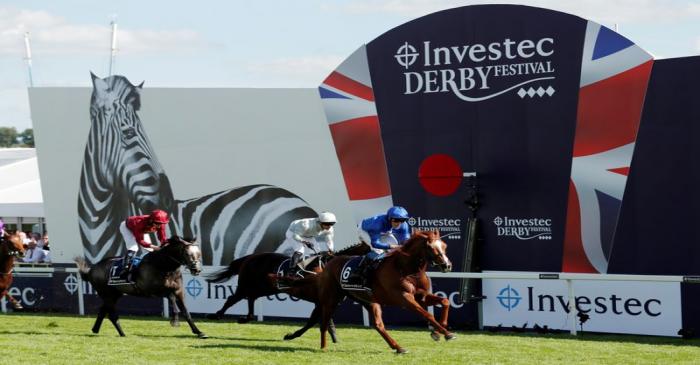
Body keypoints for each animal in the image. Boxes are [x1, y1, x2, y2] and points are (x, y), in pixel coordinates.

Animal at [76, 235, 208, 336]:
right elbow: (171, 298)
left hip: (114, 295)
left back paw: (96, 329)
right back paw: (122, 333)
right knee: (111, 314)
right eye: (187, 253)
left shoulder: (179, 291)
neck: (163, 265)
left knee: (103, 311)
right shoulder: (153, 291)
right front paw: (175, 320)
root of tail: (92, 269)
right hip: (107, 294)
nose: (197, 270)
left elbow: (186, 312)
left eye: (199, 253)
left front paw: (199, 332)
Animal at [208, 242, 372, 342]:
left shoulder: (327, 302)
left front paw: (334, 338)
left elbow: (319, 320)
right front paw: (291, 335)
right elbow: (312, 321)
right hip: (246, 286)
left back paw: (245, 318)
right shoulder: (321, 301)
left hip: (265, 288)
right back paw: (215, 315)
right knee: (232, 298)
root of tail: (249, 257)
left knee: (251, 298)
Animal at [308, 230, 452, 352]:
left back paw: (398, 348)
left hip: (368, 301)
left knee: (378, 325)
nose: (447, 265)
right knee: (324, 322)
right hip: (331, 299)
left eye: (444, 246)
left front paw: (438, 332)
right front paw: (447, 333)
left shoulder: (421, 296)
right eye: (430, 247)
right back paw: (323, 347)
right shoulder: (404, 298)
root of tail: (330, 261)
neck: (406, 269)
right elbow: (427, 314)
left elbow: (445, 301)